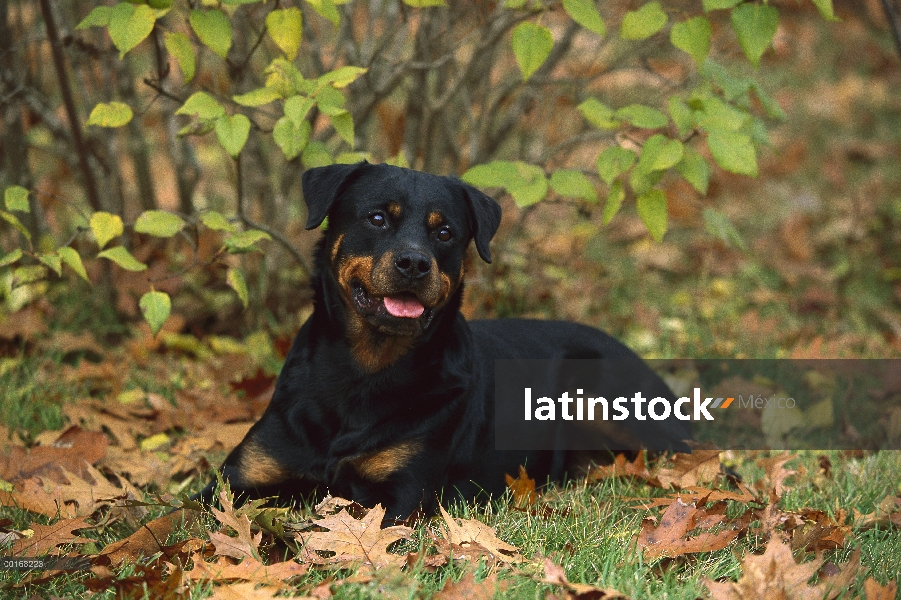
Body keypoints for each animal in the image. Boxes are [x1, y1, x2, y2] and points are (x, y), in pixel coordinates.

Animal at [199, 162, 688, 516]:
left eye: (445, 232)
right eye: (377, 218)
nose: (415, 263)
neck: (363, 370)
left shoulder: (401, 494)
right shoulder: (236, 480)